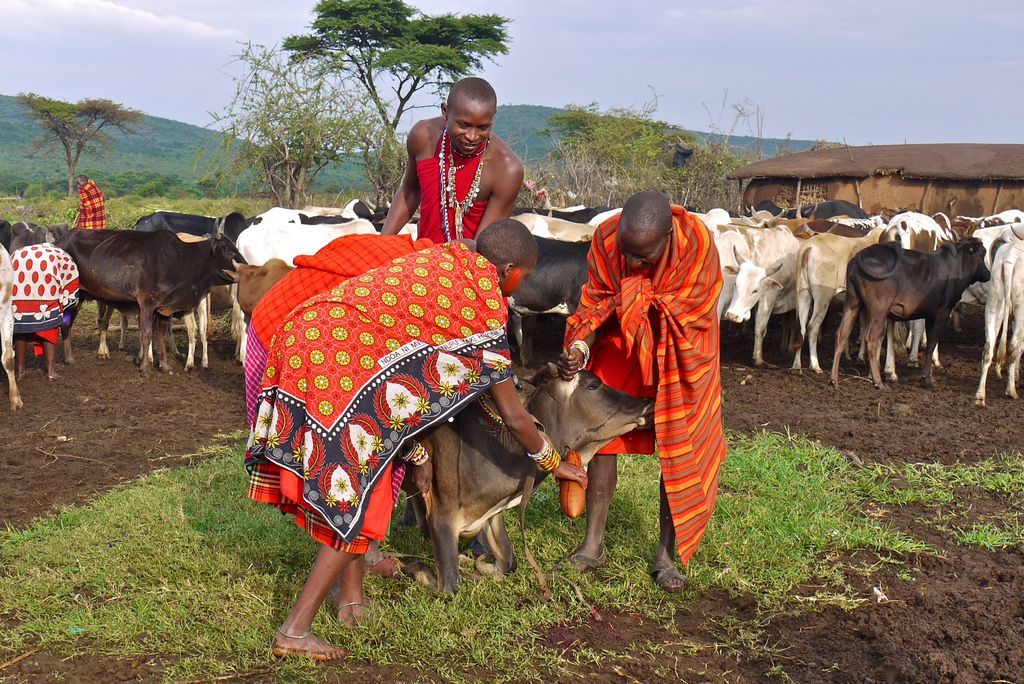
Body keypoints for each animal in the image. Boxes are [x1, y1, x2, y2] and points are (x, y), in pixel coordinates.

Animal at [57, 229, 243, 374]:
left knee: (67, 325)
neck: (179, 260)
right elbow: (146, 335)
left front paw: (165, 366)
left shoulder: (164, 308)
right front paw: (145, 367)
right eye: (226, 249)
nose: (245, 265)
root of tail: (61, 240)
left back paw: (70, 358)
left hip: (79, 296)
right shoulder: (146, 304)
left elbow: (161, 334)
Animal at [831, 239, 991, 389]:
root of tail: (860, 257)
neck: (957, 265)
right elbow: (931, 345)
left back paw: (834, 379)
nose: (988, 274)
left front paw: (929, 377)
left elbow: (929, 344)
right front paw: (927, 380)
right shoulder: (942, 312)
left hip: (852, 303)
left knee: (841, 334)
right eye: (982, 252)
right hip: (879, 309)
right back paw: (878, 382)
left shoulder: (930, 315)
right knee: (871, 339)